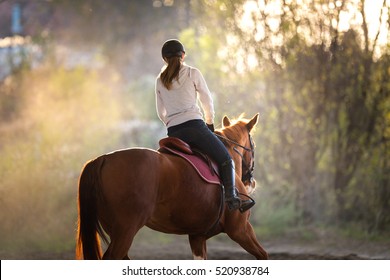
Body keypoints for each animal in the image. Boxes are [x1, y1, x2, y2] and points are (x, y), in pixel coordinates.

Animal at [74, 114, 268, 260]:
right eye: (253, 145)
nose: (251, 182)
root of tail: (103, 159)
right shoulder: (241, 230)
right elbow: (263, 255)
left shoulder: (197, 237)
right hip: (125, 230)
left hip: (116, 231)